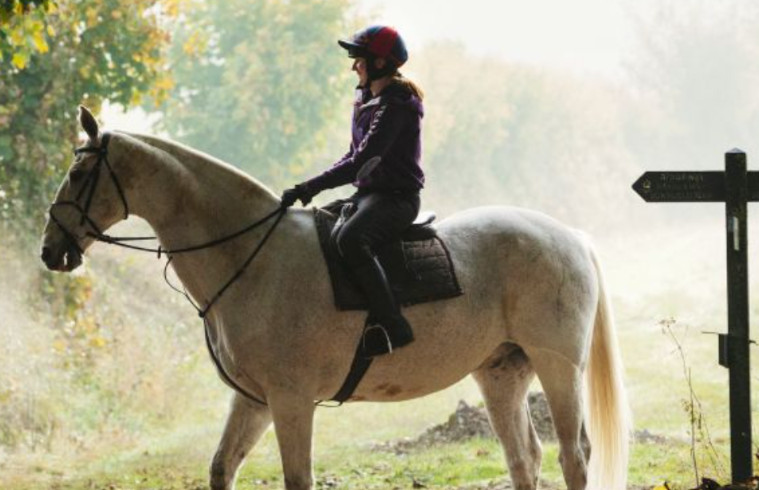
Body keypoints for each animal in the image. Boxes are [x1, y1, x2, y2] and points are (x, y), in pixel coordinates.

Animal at [40, 106, 629, 490]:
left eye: (78, 172)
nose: (50, 251)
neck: (251, 254)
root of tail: (570, 237)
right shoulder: (254, 401)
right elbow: (221, 468)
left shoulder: (291, 401)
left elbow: (297, 478)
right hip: (501, 374)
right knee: (524, 459)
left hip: (558, 368)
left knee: (573, 457)